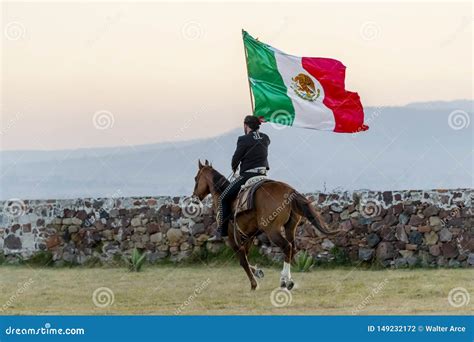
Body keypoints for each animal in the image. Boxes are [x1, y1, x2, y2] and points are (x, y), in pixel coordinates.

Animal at [191, 160, 336, 292]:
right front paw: (258, 271)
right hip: (290, 228)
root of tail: (289, 191)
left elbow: (242, 260)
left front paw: (254, 284)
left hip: (272, 231)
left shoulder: (232, 239)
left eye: (196, 178)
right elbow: (246, 257)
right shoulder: (248, 237)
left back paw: (285, 281)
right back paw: (286, 280)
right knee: (292, 248)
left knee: (287, 247)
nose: (194, 197)